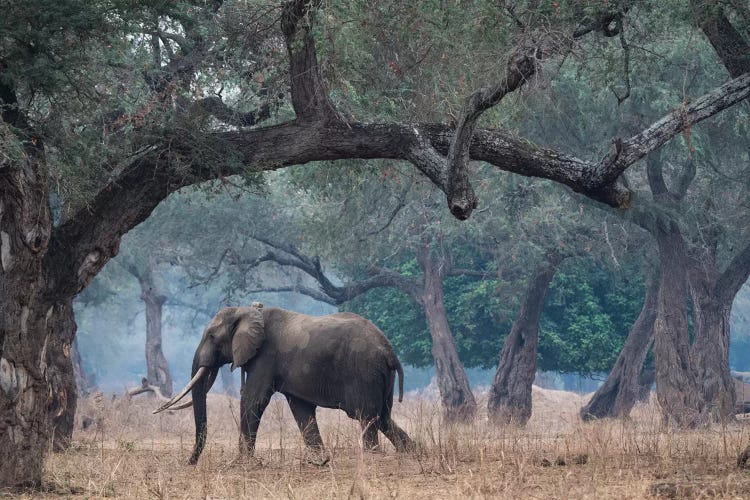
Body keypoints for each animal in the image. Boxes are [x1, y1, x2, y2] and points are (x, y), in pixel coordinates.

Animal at [155, 300, 414, 464]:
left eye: (211, 336)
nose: (190, 463)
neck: (246, 311)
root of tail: (390, 352)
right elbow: (301, 408)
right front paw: (321, 460)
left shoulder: (266, 356)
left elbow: (254, 400)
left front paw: (243, 461)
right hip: (380, 377)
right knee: (383, 417)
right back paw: (410, 452)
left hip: (364, 372)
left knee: (367, 416)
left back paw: (373, 456)